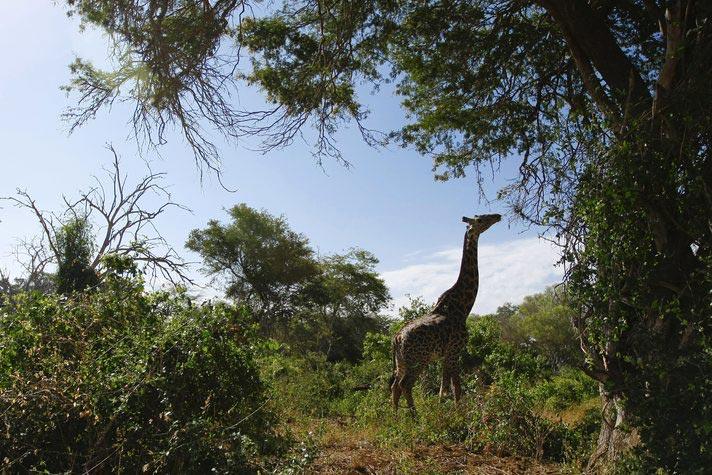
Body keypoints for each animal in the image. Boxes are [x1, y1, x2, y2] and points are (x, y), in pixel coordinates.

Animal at [390, 212, 500, 412]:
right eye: (481, 219)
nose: (498, 216)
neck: (462, 307)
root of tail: (397, 338)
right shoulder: (455, 350)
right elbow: (456, 387)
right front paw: (459, 414)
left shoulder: (445, 355)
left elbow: (444, 388)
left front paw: (444, 411)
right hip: (419, 359)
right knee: (405, 384)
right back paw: (414, 415)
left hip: (401, 361)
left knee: (395, 386)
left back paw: (394, 415)